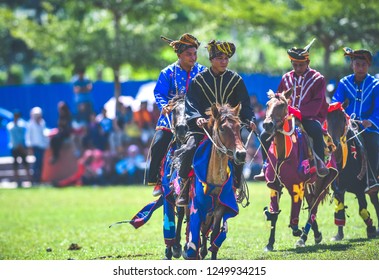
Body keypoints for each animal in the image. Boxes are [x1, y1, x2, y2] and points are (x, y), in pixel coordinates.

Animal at [183, 103, 248, 260]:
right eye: (222, 128)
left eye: (239, 126)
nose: (241, 154)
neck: (214, 179)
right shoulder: (196, 205)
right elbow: (194, 232)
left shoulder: (220, 208)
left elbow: (214, 236)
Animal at [262, 88, 338, 250]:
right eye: (267, 104)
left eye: (282, 105)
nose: (267, 125)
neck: (284, 154)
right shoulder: (274, 185)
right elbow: (274, 214)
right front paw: (270, 243)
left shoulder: (296, 186)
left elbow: (294, 219)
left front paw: (298, 231)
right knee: (310, 204)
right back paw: (314, 234)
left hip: (323, 181)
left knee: (313, 208)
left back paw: (304, 237)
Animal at [326, 101, 379, 240]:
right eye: (326, 120)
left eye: (342, 119)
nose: (334, 145)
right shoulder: (338, 188)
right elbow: (339, 208)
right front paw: (339, 235)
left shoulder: (360, 189)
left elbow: (362, 209)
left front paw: (371, 230)